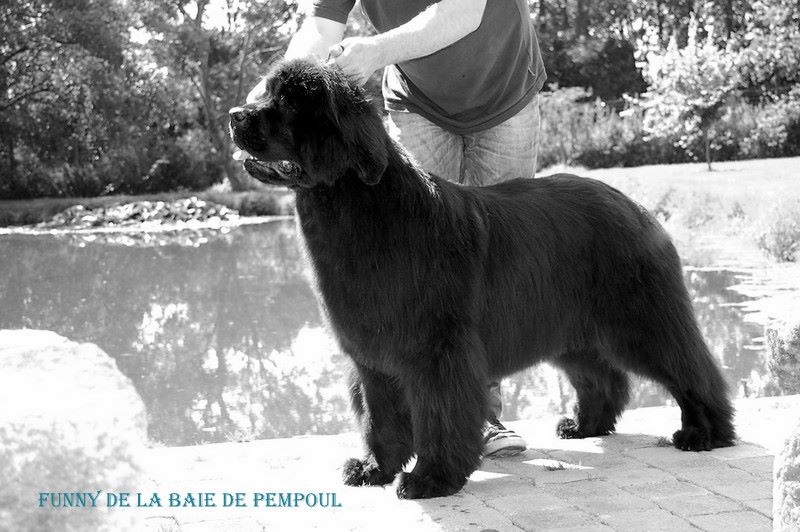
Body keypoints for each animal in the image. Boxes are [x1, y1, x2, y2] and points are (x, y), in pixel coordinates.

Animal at [229, 59, 735, 500]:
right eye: (267, 93)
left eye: (288, 103)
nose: (235, 115)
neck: (360, 206)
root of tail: (639, 207)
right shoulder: (371, 354)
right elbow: (379, 417)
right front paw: (375, 469)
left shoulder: (437, 350)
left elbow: (439, 415)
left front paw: (431, 479)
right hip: (570, 328)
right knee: (602, 377)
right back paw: (584, 426)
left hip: (641, 319)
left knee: (690, 367)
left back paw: (704, 432)